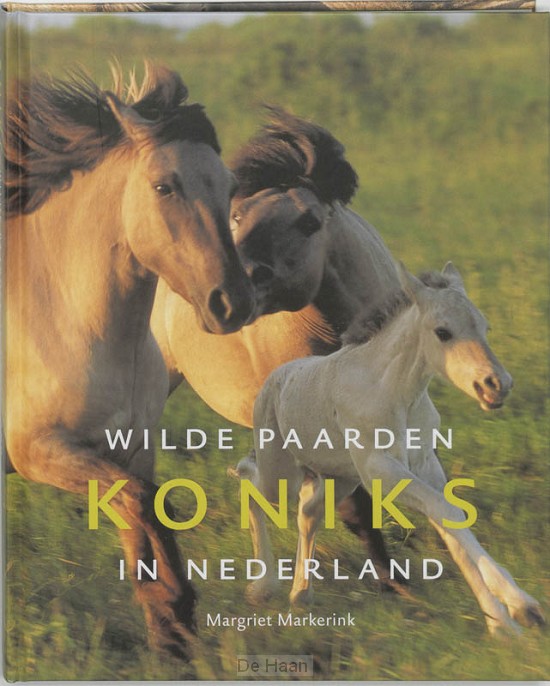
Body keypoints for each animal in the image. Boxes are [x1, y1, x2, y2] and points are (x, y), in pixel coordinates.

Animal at [4, 64, 254, 658]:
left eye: (231, 188)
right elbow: (142, 502)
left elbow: (142, 511)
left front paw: (171, 635)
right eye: (165, 186)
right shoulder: (38, 450)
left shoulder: (130, 448)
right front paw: (177, 607)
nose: (233, 303)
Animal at [238, 263, 544, 636]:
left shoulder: (424, 464)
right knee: (250, 483)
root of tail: (274, 379)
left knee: (308, 512)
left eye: (484, 326)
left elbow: (450, 520)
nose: (497, 385)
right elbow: (448, 513)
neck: (395, 392)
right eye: (443, 332)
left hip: (340, 478)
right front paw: (512, 614)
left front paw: (511, 614)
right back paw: (263, 586)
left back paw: (301, 593)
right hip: (281, 473)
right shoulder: (381, 470)